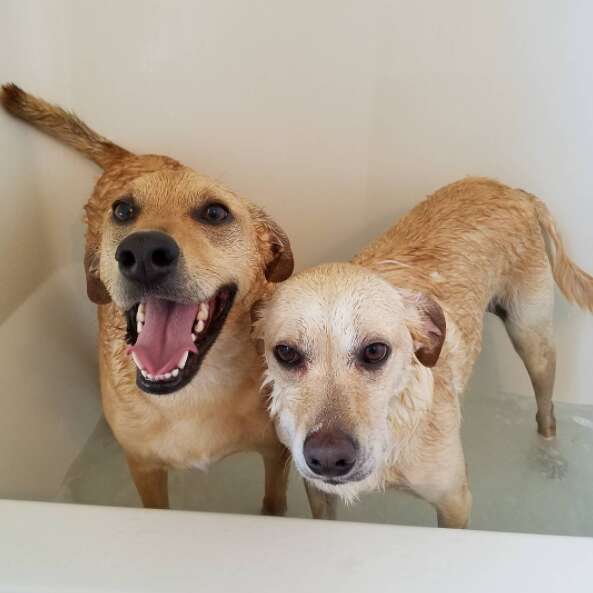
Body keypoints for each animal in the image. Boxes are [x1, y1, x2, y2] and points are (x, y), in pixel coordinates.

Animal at [1, 84, 294, 512]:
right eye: (123, 210)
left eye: (215, 213)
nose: (142, 253)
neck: (195, 393)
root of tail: (130, 157)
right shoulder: (144, 467)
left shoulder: (276, 452)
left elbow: (274, 500)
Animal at [253, 177, 592, 528]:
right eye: (286, 353)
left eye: (375, 351)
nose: (329, 458)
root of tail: (513, 191)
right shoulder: (320, 495)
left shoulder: (455, 501)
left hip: (533, 340)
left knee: (546, 410)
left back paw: (550, 457)